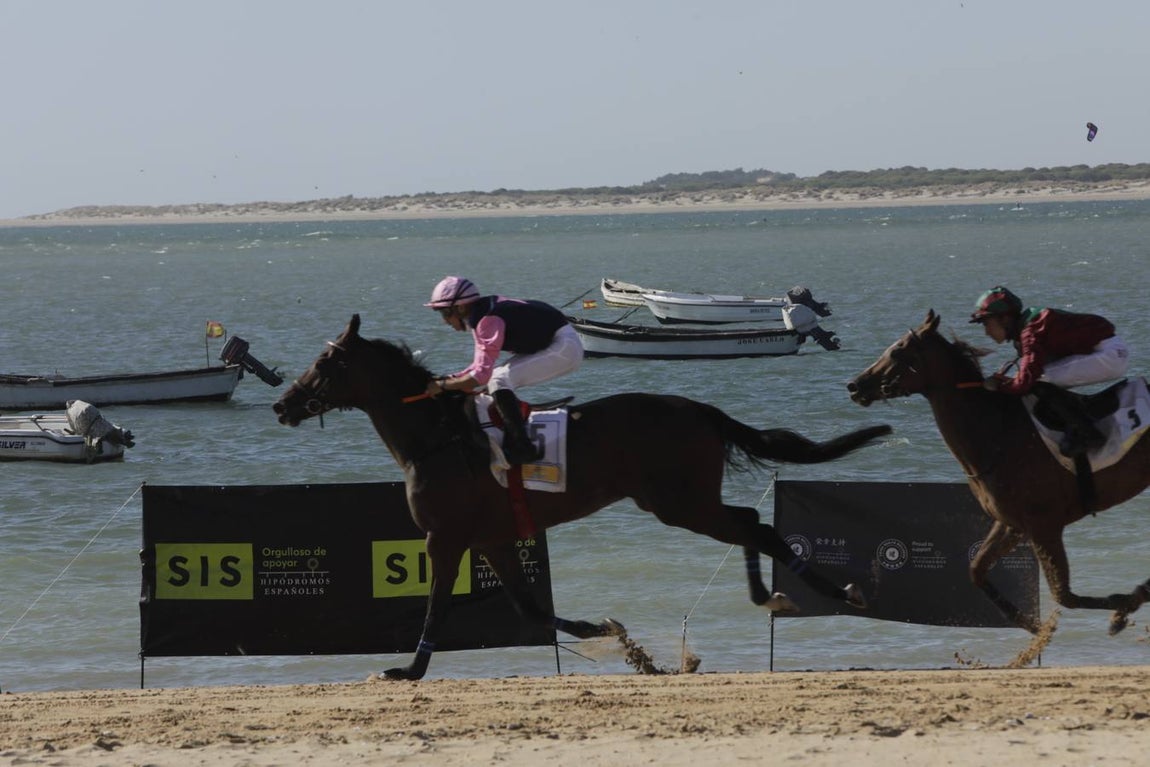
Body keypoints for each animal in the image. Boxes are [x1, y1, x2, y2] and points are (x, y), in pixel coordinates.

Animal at [273, 314, 892, 680]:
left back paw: (824, 592)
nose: (283, 404)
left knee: (753, 524)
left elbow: (437, 603)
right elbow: (528, 607)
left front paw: (408, 670)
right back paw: (773, 594)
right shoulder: (493, 538)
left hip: (678, 503)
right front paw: (610, 634)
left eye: (326, 363)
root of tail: (699, 410)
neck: (439, 438)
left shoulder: (443, 537)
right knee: (748, 521)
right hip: (682, 501)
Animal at [847, 309, 1150, 635]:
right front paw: (1028, 623)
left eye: (898, 349)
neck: (997, 434)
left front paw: (1122, 608)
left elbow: (1064, 595)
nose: (855, 385)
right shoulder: (1012, 524)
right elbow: (976, 570)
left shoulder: (1044, 525)